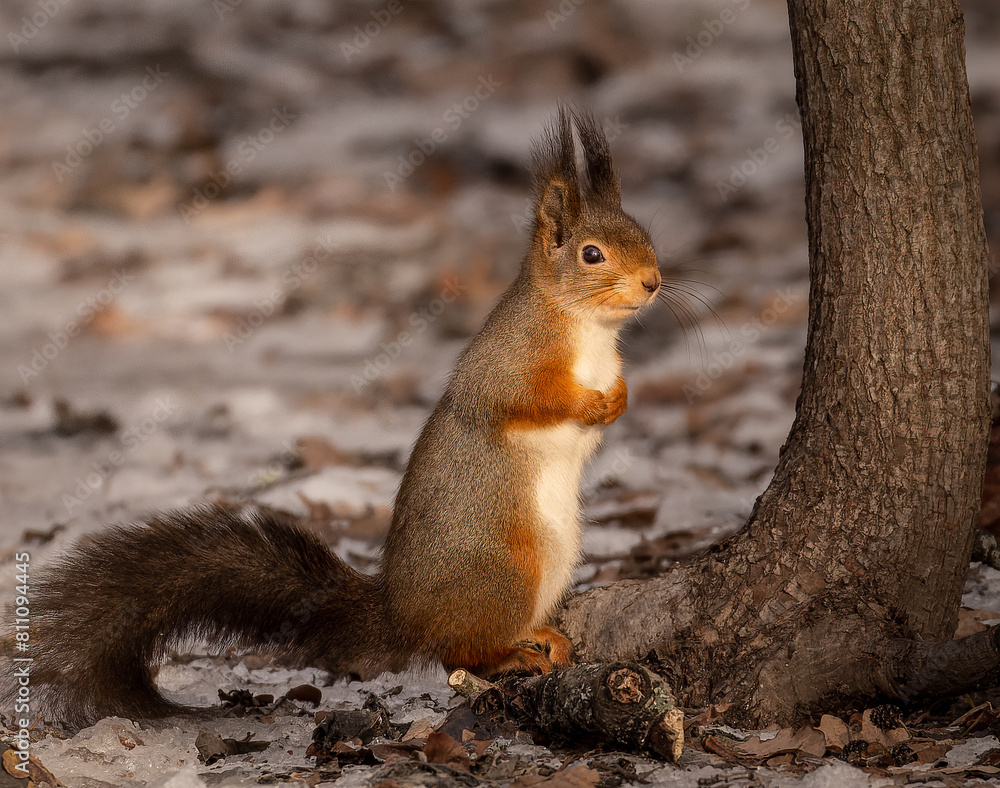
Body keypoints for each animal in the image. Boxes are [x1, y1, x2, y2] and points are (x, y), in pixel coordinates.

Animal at [12, 107, 661, 728]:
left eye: (645, 235)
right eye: (592, 254)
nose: (654, 283)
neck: (588, 330)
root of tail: (402, 617)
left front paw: (619, 399)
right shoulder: (509, 363)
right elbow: (523, 400)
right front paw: (590, 404)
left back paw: (543, 636)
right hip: (505, 569)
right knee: (458, 652)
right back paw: (508, 655)